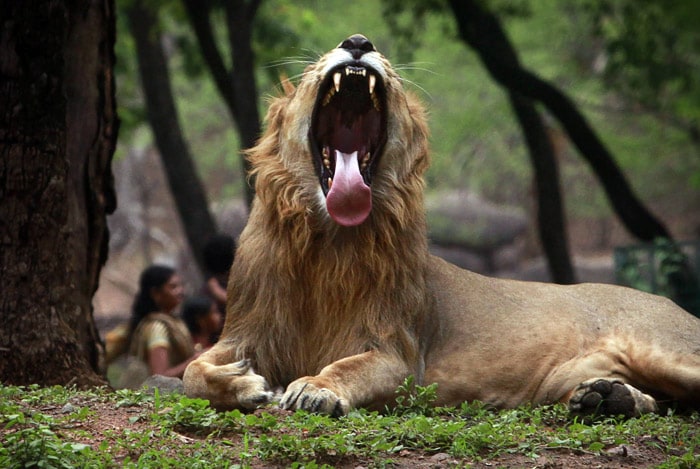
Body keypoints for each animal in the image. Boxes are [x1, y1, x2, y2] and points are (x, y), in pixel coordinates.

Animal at [185, 35, 700, 416]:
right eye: (314, 66)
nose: (358, 42)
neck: (326, 242)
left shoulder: (399, 354)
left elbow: (348, 368)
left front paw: (315, 387)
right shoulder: (244, 332)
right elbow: (191, 372)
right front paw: (246, 384)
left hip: (664, 350)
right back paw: (607, 398)